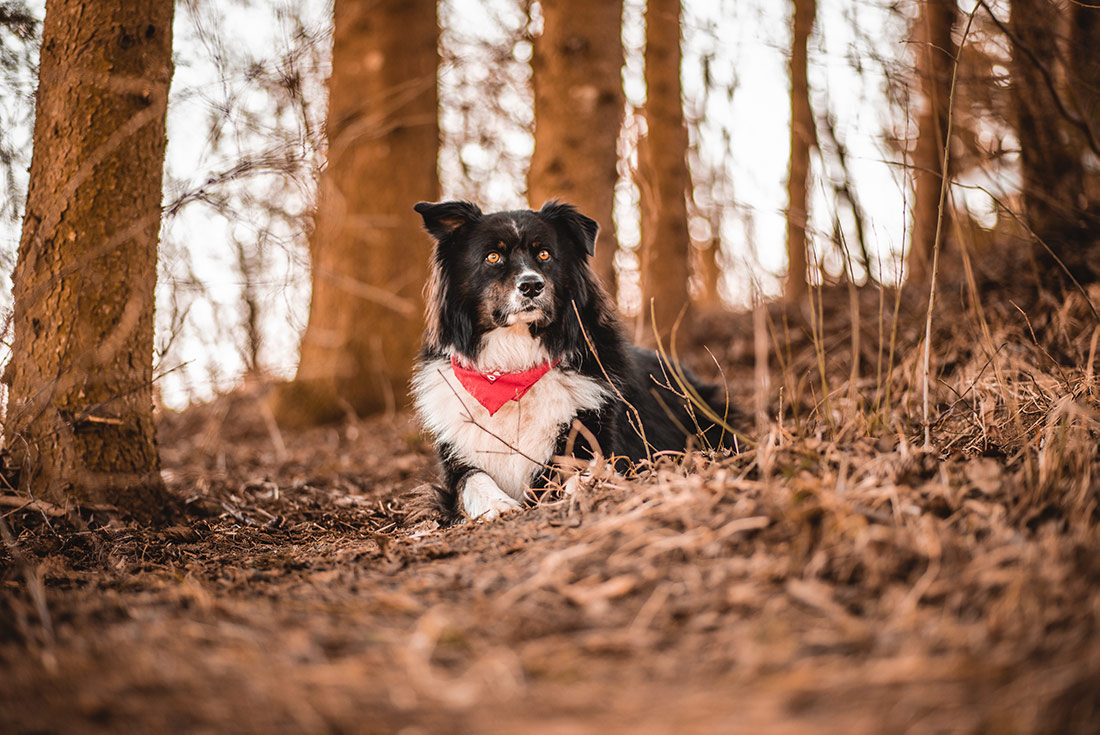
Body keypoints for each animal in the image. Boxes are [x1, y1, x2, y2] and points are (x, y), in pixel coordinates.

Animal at [409, 199, 734, 521]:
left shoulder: (599, 438)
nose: (531, 285)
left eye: (544, 254)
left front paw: (585, 491)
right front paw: (497, 504)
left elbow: (587, 471)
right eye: (493, 257)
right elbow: (473, 479)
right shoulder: (455, 462)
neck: (515, 364)